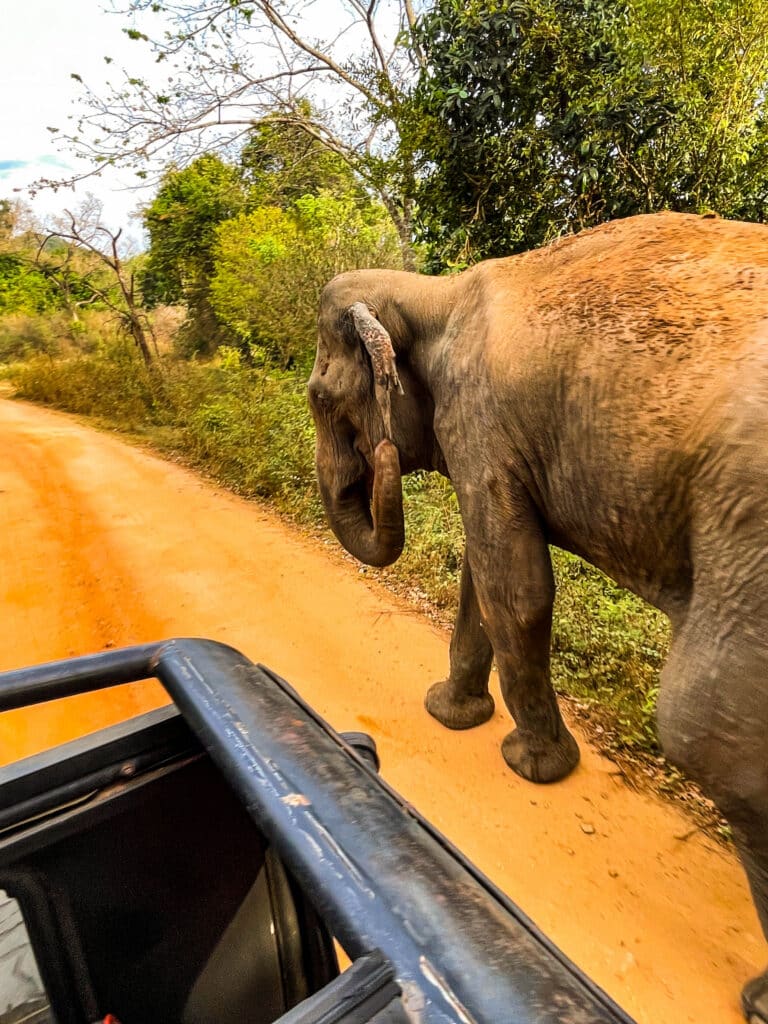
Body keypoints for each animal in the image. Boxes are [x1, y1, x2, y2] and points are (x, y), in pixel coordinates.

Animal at [307, 211, 768, 1020]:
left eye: (321, 400)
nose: (382, 457)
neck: (432, 292)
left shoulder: (481, 420)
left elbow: (512, 582)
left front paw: (532, 767)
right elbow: (482, 573)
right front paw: (449, 714)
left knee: (708, 736)